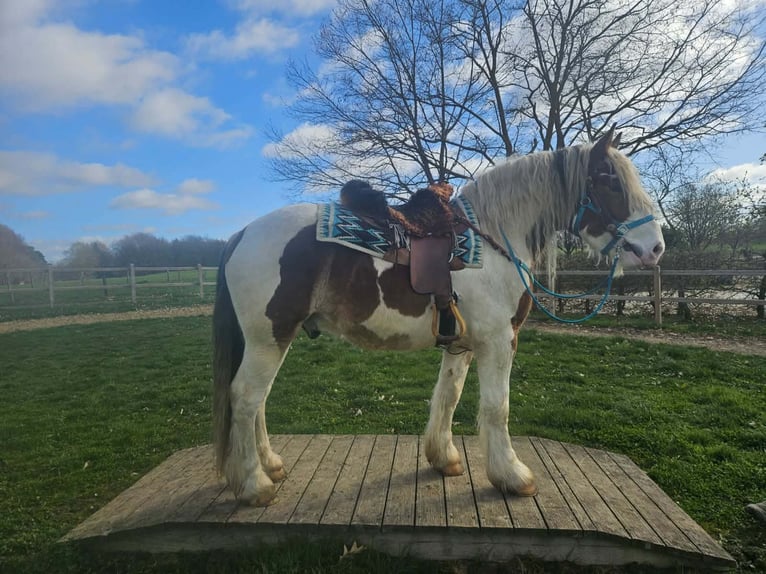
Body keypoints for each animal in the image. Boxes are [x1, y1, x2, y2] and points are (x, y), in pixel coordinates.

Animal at [212, 127, 665, 506]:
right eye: (610, 180)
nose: (655, 247)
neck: (494, 239)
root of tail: (242, 233)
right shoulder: (499, 341)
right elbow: (496, 407)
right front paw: (512, 476)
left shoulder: (462, 343)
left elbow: (449, 396)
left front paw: (443, 458)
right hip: (269, 337)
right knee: (246, 397)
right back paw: (254, 484)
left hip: (272, 339)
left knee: (259, 400)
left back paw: (270, 464)